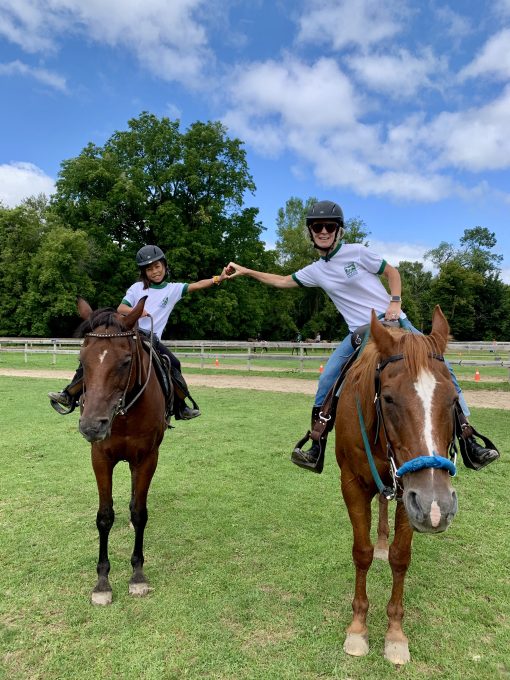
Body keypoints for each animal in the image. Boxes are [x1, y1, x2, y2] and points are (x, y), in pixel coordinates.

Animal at [75, 298, 167, 604]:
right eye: (82, 361)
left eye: (126, 361)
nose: (92, 425)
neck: (124, 415)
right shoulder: (100, 458)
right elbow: (104, 517)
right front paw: (102, 581)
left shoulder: (148, 458)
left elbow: (139, 512)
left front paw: (137, 575)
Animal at [336, 308, 460, 664]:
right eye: (389, 398)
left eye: (454, 399)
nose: (438, 507)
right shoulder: (352, 484)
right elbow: (361, 553)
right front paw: (358, 627)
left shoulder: (411, 495)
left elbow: (400, 557)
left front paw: (394, 634)